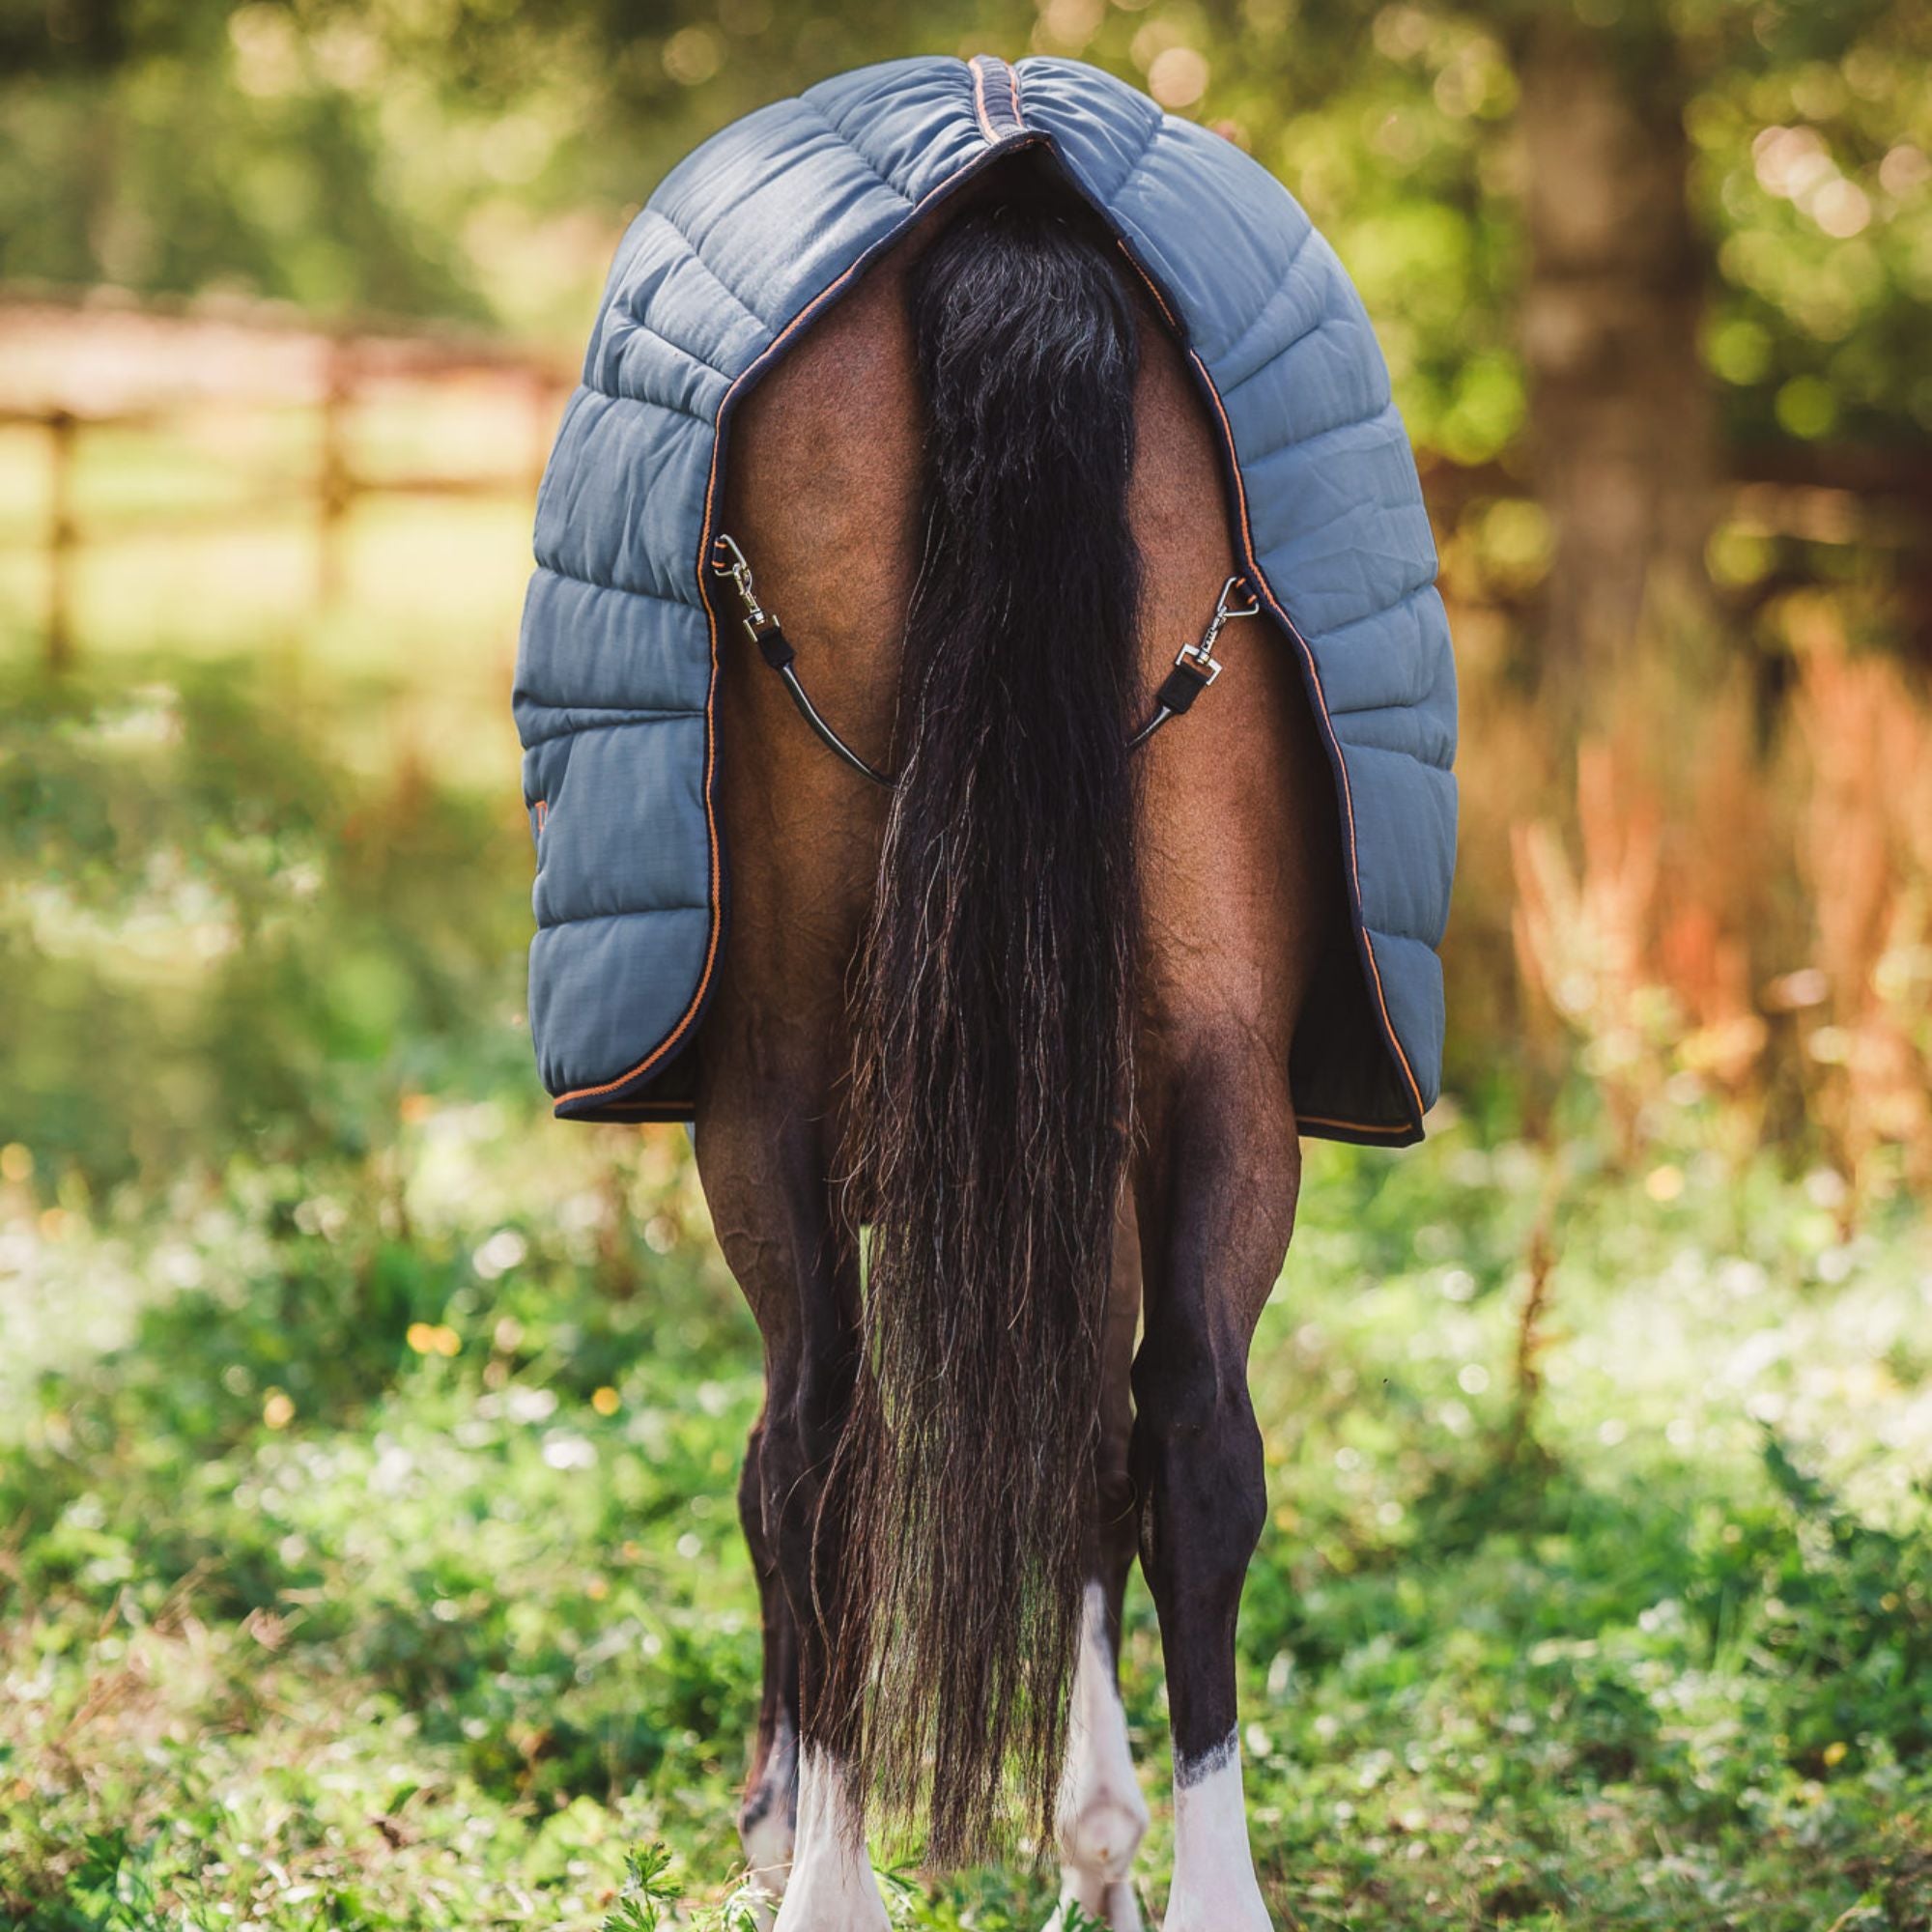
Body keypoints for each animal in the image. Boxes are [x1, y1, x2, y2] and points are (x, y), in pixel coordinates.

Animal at [692, 162, 1345, 1932]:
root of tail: (1012, 204)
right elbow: (1098, 1454)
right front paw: (1096, 1833)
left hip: (766, 1094)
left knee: (818, 1449)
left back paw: (827, 1870)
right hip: (1218, 1081)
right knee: (1190, 1442)